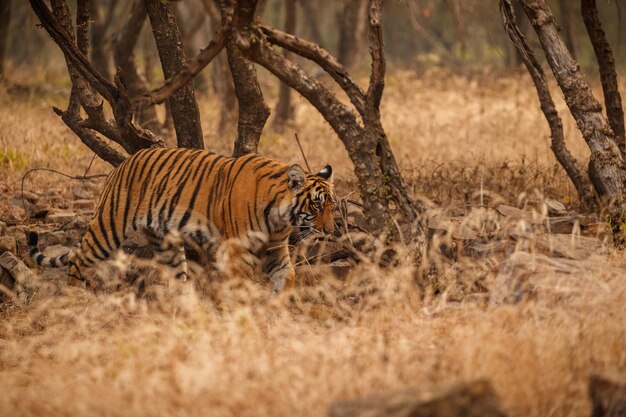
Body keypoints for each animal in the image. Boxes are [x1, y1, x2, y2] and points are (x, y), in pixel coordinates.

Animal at [26, 148, 334, 290]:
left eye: (332, 206)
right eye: (317, 205)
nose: (330, 231)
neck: (279, 217)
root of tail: (124, 162)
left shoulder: (275, 250)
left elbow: (288, 277)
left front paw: (276, 305)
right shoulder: (237, 251)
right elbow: (240, 284)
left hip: (166, 243)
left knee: (175, 277)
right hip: (108, 227)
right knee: (78, 258)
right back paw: (74, 296)